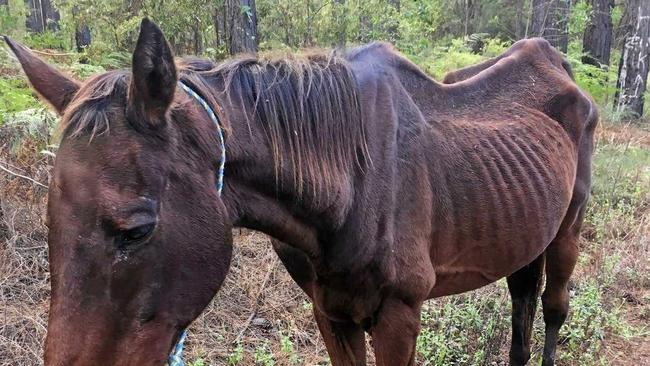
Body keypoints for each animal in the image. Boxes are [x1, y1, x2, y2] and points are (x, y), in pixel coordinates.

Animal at [3, 17, 592, 366]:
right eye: (49, 226)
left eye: (136, 229)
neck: (351, 184)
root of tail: (554, 61)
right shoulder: (331, 312)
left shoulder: (399, 314)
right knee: (521, 307)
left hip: (569, 230)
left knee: (552, 308)